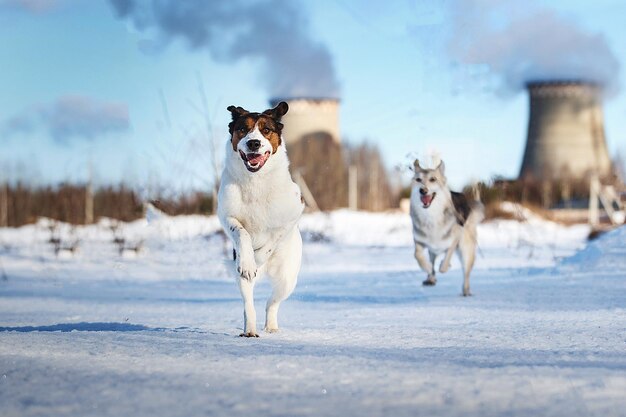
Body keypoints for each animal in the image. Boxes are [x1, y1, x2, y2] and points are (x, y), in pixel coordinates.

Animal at [218, 102, 304, 336]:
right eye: (242, 129)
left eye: (266, 130)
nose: (254, 143)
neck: (255, 181)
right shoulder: (226, 214)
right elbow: (242, 232)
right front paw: (249, 261)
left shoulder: (294, 212)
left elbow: (274, 237)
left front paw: (259, 256)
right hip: (243, 282)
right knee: (249, 304)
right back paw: (249, 330)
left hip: (287, 279)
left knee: (272, 302)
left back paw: (271, 327)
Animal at [410, 159, 482, 296]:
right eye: (418, 179)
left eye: (433, 179)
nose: (423, 190)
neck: (431, 216)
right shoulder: (419, 241)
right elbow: (417, 255)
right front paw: (427, 268)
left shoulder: (455, 239)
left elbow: (447, 257)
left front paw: (445, 266)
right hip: (432, 251)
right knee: (432, 261)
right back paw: (430, 278)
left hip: (466, 249)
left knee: (466, 272)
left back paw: (466, 290)